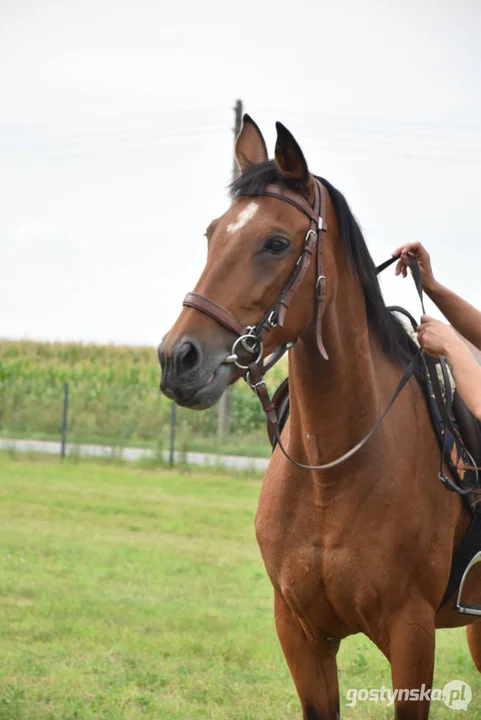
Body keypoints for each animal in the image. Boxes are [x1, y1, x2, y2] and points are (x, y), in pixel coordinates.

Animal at [158, 115, 480, 716]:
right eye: (213, 234)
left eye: (276, 242)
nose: (177, 358)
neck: (332, 476)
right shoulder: (301, 633)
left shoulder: (412, 637)